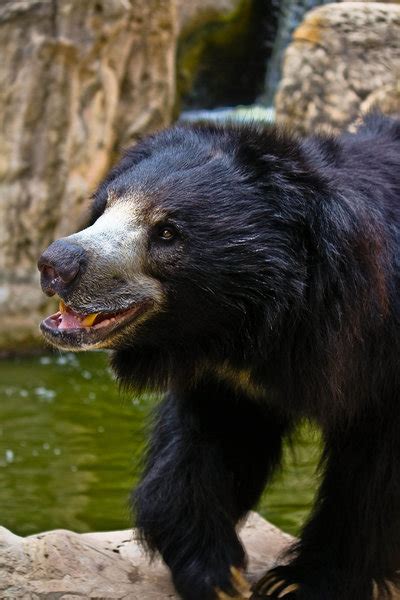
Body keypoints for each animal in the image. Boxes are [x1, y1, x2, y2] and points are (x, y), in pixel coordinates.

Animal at [39, 113, 400, 600]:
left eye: (167, 231)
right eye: (106, 206)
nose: (56, 264)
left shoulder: (377, 366)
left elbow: (374, 480)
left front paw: (298, 581)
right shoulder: (230, 377)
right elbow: (212, 446)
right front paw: (216, 572)